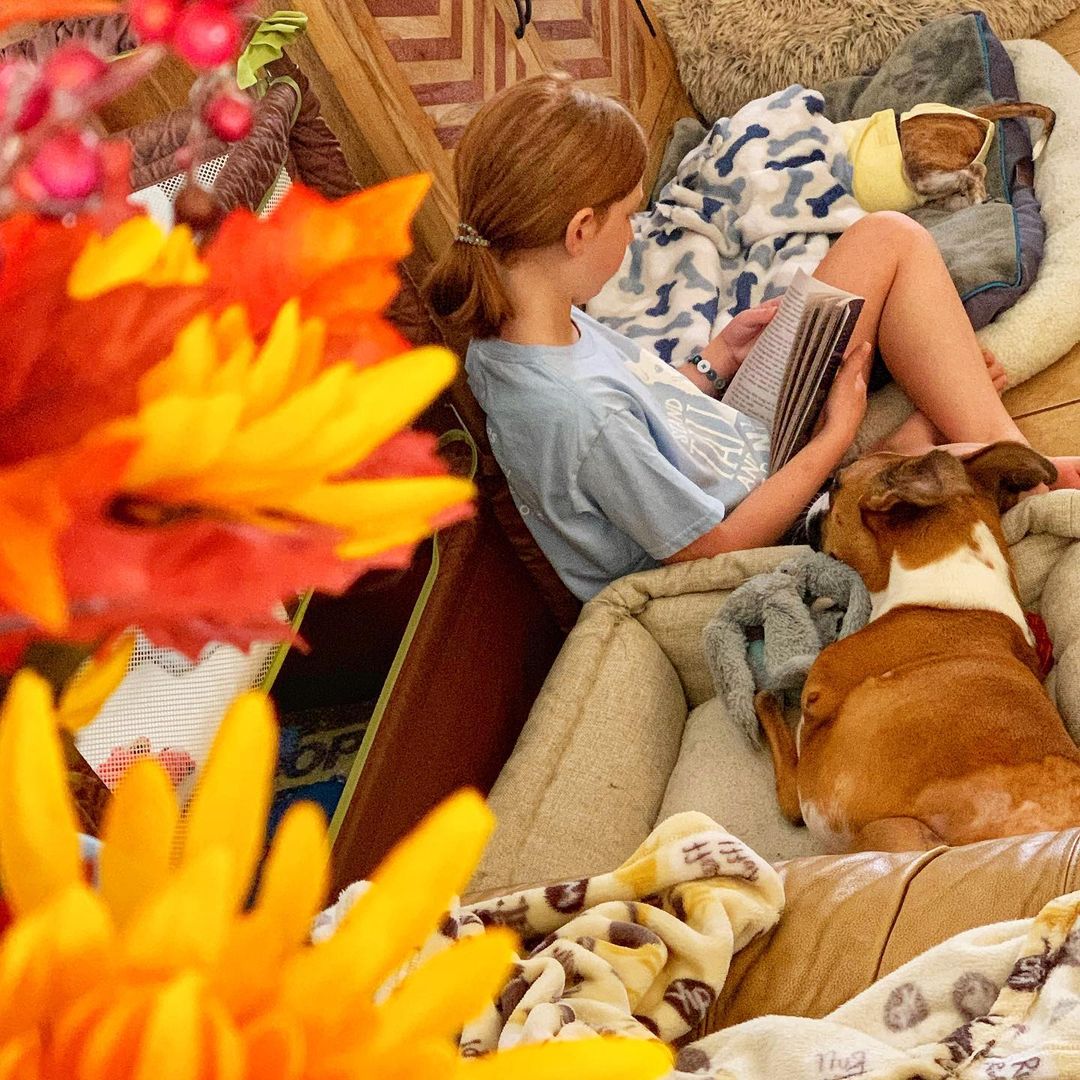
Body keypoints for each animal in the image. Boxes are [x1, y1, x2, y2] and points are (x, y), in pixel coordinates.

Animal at [756, 442, 1080, 855]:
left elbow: (790, 791)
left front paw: (769, 698)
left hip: (894, 835)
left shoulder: (814, 720)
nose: (819, 492)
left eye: (836, 484)